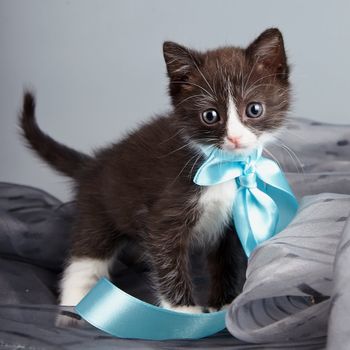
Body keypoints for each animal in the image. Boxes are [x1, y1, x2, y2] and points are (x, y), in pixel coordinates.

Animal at [20, 28, 292, 316]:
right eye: (210, 115)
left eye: (254, 109)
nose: (235, 138)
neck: (222, 169)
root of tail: (94, 163)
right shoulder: (165, 214)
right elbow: (168, 259)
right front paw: (183, 312)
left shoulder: (229, 222)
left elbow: (226, 259)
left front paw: (224, 304)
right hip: (97, 213)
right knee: (85, 259)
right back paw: (74, 307)